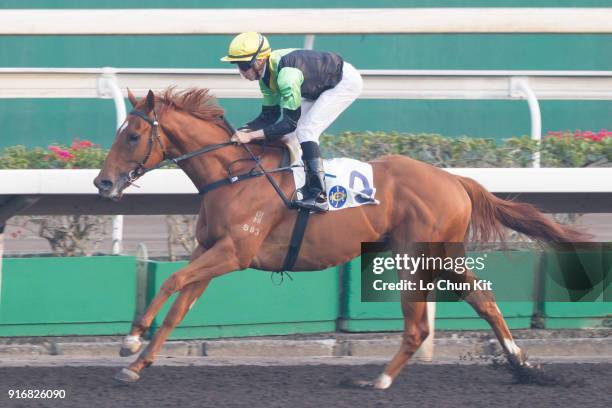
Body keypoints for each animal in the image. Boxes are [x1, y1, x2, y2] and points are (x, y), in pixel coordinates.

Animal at [95, 87, 588, 388]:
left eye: (133, 134)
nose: (102, 183)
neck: (233, 176)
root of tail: (454, 180)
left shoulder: (234, 252)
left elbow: (171, 280)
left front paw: (130, 340)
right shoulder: (209, 250)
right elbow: (179, 307)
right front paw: (136, 365)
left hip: (416, 258)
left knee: (419, 325)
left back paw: (380, 379)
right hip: (444, 256)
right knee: (483, 300)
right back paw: (522, 364)